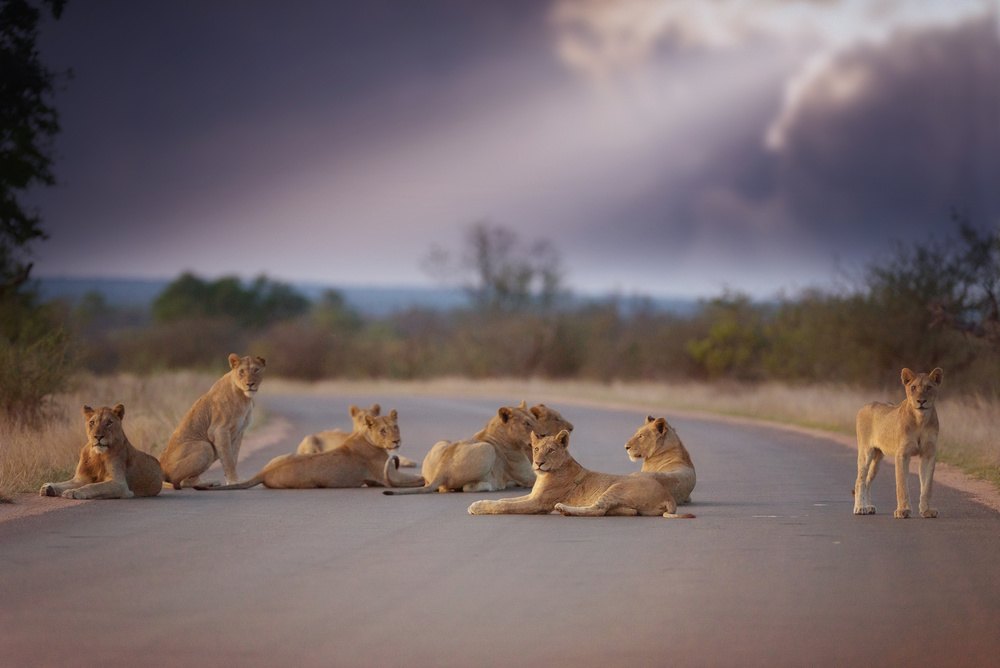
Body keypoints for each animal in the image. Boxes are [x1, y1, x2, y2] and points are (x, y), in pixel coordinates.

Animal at [158, 354, 266, 490]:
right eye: (241, 371)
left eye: (256, 370)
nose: (250, 384)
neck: (244, 398)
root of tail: (160, 468)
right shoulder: (219, 430)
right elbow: (228, 459)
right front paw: (234, 481)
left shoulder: (239, 431)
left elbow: (234, 456)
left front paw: (235, 481)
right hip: (205, 447)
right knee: (183, 482)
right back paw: (207, 483)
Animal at [196, 408, 426, 490]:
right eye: (383, 430)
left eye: (395, 427)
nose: (396, 441)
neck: (366, 437)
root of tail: (263, 472)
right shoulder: (387, 474)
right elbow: (417, 478)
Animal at [380, 400, 548, 494]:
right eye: (527, 423)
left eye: (534, 419)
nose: (544, 434)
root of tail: (442, 469)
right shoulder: (528, 476)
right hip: (488, 450)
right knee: (467, 487)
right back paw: (491, 485)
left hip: (443, 441)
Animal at [468, 430, 696, 520]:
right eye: (536, 449)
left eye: (550, 450)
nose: (538, 463)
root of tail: (667, 495)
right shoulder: (533, 495)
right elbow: (506, 499)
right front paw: (484, 501)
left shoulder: (539, 503)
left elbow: (503, 505)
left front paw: (477, 506)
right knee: (617, 511)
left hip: (617, 487)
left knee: (597, 510)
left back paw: (563, 509)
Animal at [852, 368, 944, 520]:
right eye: (913, 387)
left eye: (929, 387)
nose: (921, 401)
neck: (921, 419)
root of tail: (865, 406)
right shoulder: (902, 454)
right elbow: (902, 485)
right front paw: (903, 510)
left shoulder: (928, 454)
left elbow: (927, 486)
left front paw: (927, 510)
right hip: (866, 452)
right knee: (860, 481)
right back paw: (860, 508)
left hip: (878, 459)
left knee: (868, 482)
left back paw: (869, 506)